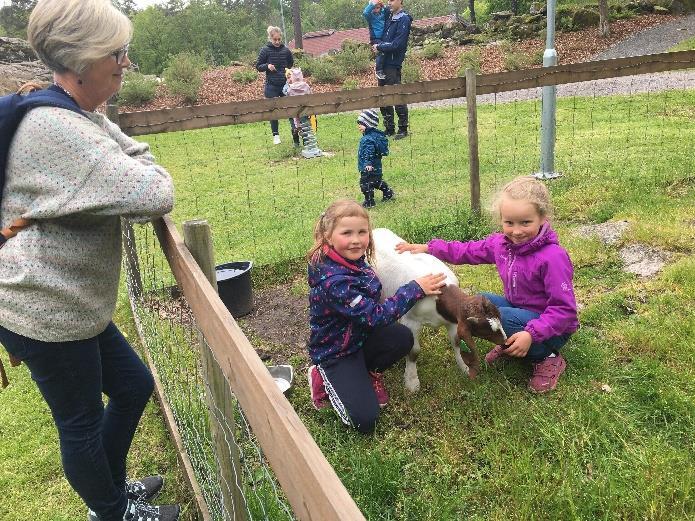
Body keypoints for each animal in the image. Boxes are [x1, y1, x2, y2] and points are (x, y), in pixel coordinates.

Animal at [376, 226, 506, 390]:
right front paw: (412, 382)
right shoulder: (411, 321)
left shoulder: (453, 321)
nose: (506, 341)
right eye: (486, 330)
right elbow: (414, 351)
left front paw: (464, 368)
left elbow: (456, 342)